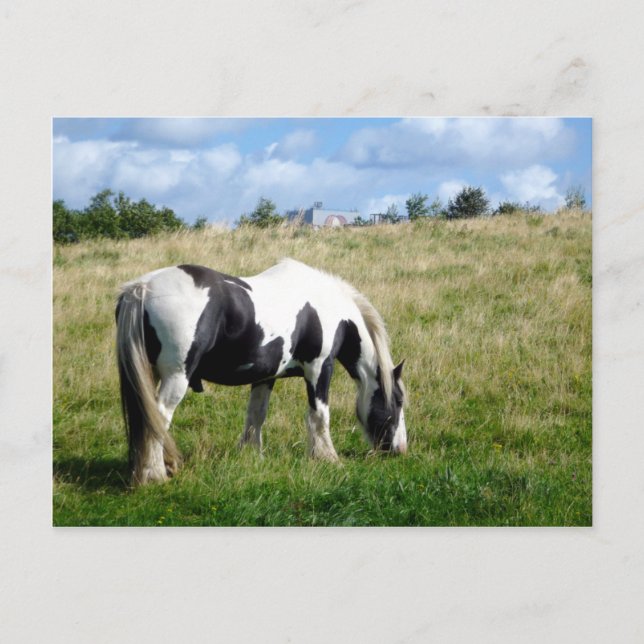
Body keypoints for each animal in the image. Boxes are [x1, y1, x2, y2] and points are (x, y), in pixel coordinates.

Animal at [115, 258, 407, 485]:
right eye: (398, 401)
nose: (400, 449)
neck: (324, 305)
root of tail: (142, 288)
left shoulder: (265, 376)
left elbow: (256, 415)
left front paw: (252, 455)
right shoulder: (319, 368)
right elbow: (319, 415)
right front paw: (328, 458)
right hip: (176, 377)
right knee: (158, 417)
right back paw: (155, 475)